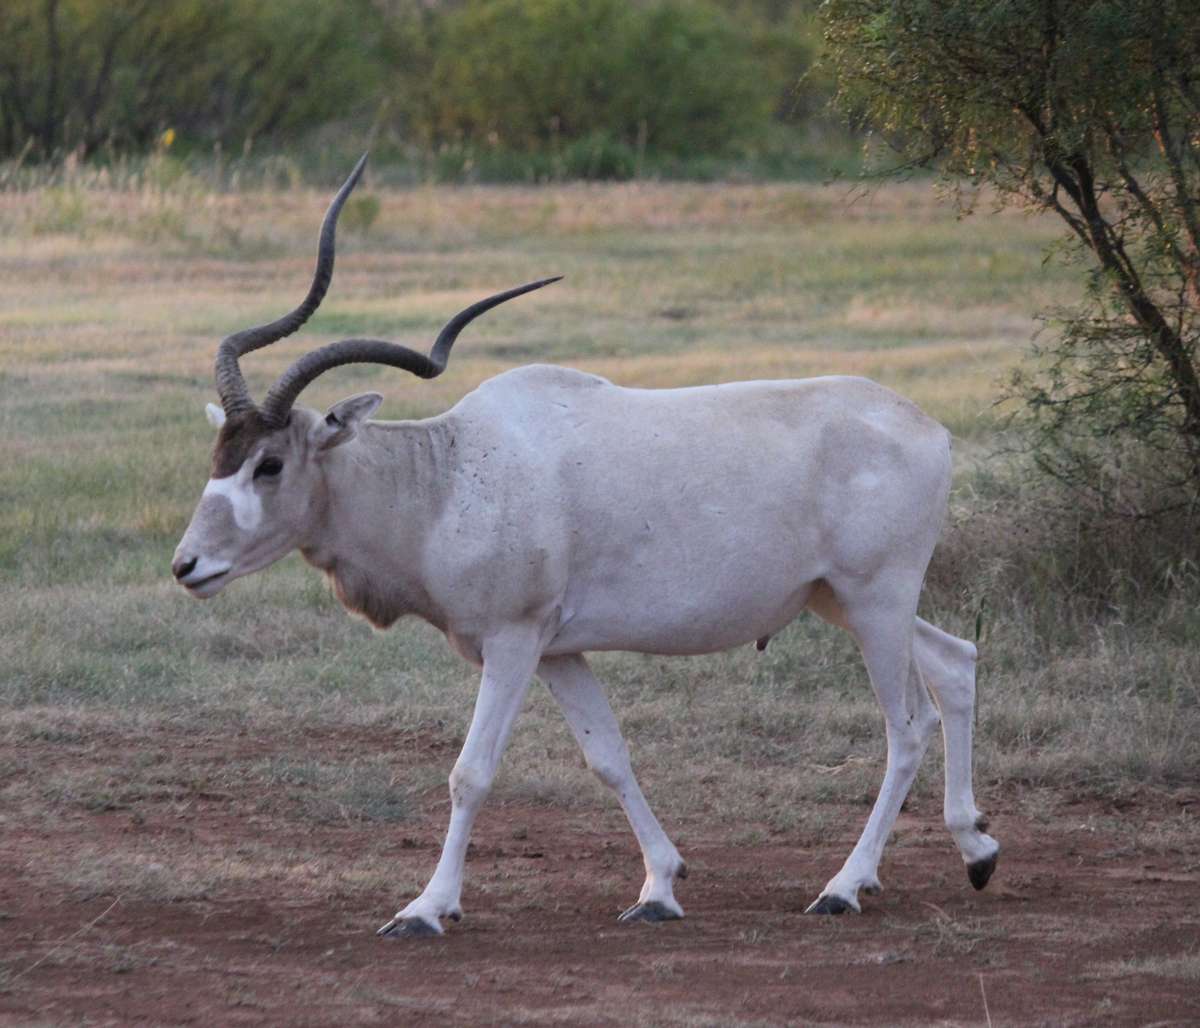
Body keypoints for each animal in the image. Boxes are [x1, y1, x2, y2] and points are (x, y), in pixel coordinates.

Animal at [174, 154, 998, 940]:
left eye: (269, 464)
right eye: (218, 454)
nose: (188, 566)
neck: (447, 476)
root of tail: (929, 427)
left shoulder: (512, 640)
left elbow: (471, 772)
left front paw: (426, 908)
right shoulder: (559, 650)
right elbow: (608, 756)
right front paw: (660, 888)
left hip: (876, 599)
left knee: (907, 728)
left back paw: (843, 888)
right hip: (843, 601)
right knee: (955, 662)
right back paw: (976, 851)